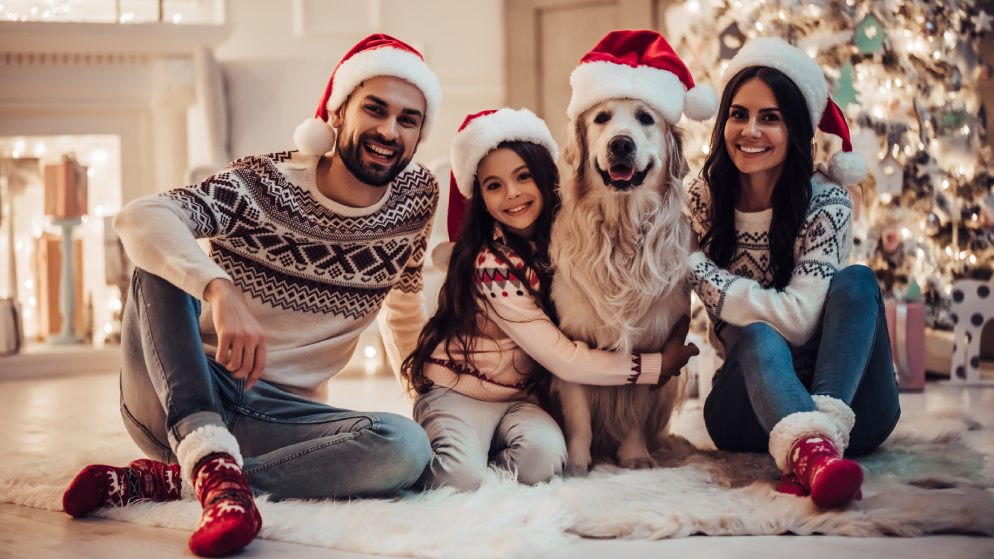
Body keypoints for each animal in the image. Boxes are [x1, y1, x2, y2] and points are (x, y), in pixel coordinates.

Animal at [552, 98, 688, 474]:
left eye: (646, 118)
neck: (621, 231)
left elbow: (634, 413)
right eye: (601, 118)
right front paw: (577, 464)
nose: (621, 144)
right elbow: (579, 419)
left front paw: (635, 456)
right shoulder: (574, 344)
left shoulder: (652, 345)